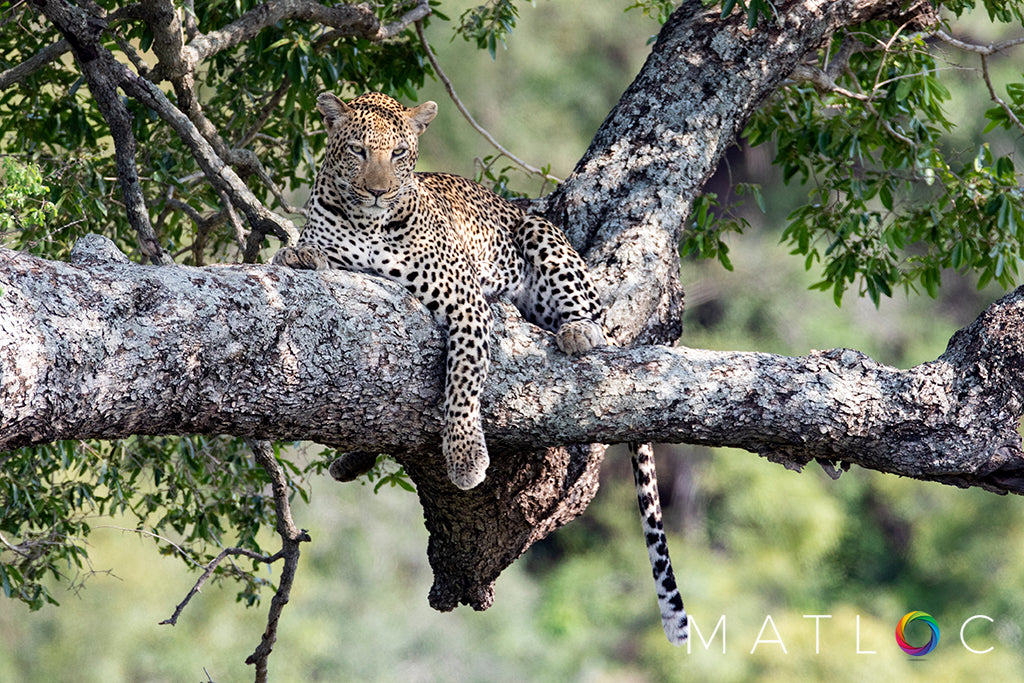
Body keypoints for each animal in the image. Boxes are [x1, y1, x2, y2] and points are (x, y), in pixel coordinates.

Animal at [270, 92, 688, 647]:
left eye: (398, 153)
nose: (378, 192)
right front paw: (296, 252)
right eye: (358, 151)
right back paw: (353, 459)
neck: (366, 224)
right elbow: (315, 252)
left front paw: (466, 457)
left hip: (544, 243)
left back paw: (580, 332)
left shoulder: (465, 299)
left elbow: (463, 379)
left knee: (586, 317)